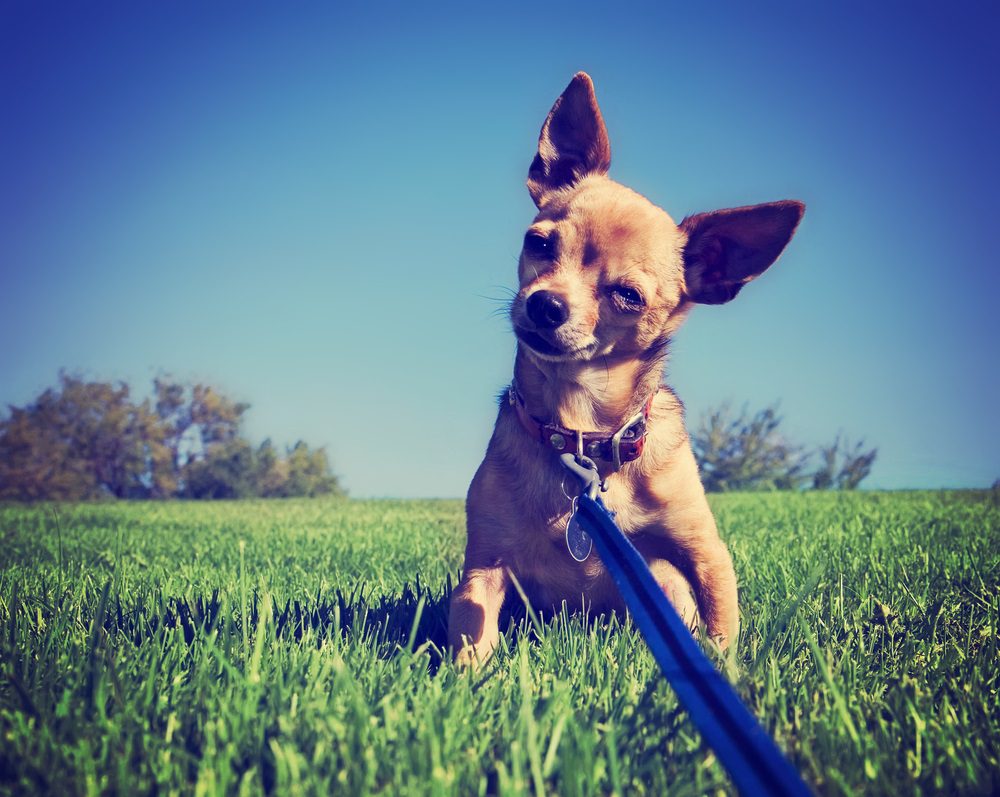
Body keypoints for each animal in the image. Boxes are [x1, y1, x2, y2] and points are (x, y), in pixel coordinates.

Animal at [452, 73, 804, 664]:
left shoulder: (704, 554)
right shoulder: (485, 566)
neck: (584, 436)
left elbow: (722, 629)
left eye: (628, 296)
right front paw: (465, 679)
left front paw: (725, 668)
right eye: (538, 243)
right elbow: (472, 636)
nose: (547, 305)